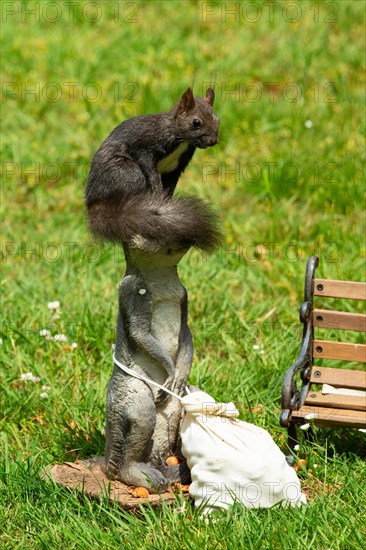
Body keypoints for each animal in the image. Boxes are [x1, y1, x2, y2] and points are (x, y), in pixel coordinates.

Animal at [86, 87, 222, 251]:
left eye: (218, 120)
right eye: (196, 122)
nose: (213, 141)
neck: (181, 140)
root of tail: (94, 202)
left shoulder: (176, 167)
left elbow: (170, 185)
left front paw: (167, 201)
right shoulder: (144, 146)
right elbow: (151, 171)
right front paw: (158, 194)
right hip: (128, 172)